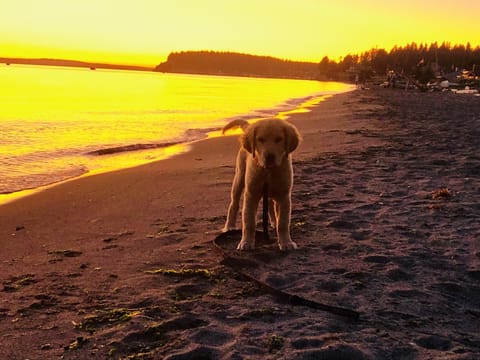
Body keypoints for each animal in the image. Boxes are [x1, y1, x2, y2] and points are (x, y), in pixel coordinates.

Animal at [222, 118, 300, 250]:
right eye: (260, 139)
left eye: (279, 139)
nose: (270, 157)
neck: (268, 171)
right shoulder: (251, 194)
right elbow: (249, 221)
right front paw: (246, 242)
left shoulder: (284, 195)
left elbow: (283, 222)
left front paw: (286, 242)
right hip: (239, 177)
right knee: (234, 203)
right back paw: (230, 226)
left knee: (270, 205)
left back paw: (273, 221)